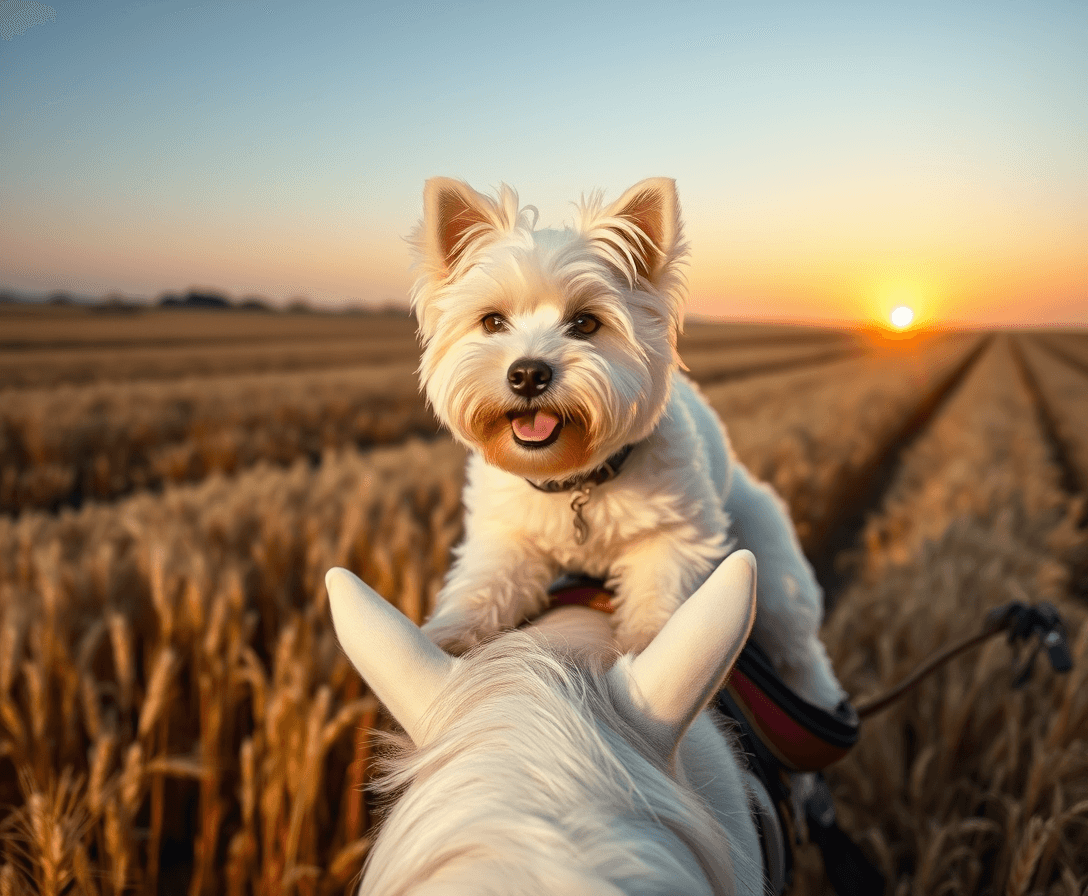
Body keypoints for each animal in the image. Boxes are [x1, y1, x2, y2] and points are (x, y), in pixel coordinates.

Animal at [411, 172, 844, 708]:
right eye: (492, 321)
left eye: (585, 323)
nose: (528, 373)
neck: (576, 481)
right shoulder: (507, 537)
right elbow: (486, 585)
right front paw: (451, 636)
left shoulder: (675, 538)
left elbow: (659, 605)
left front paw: (648, 654)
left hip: (777, 578)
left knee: (800, 651)